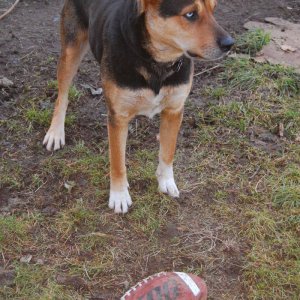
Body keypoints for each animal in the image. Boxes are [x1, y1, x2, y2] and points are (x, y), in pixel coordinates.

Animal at [42, 0, 234, 213]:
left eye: (214, 9)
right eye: (190, 14)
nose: (229, 44)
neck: (157, 61)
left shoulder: (174, 110)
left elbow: (168, 151)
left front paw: (166, 181)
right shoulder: (118, 117)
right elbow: (117, 161)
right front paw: (119, 195)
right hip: (71, 49)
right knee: (62, 96)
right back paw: (56, 132)